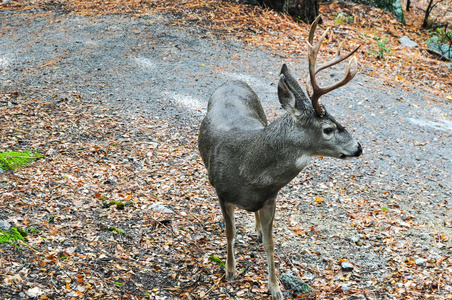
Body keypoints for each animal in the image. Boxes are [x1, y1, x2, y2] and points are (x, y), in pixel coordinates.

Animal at [200, 17, 362, 300]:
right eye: (328, 129)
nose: (358, 147)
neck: (248, 171)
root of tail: (233, 80)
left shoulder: (271, 198)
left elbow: (270, 243)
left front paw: (275, 288)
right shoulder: (221, 192)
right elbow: (231, 233)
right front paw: (230, 271)